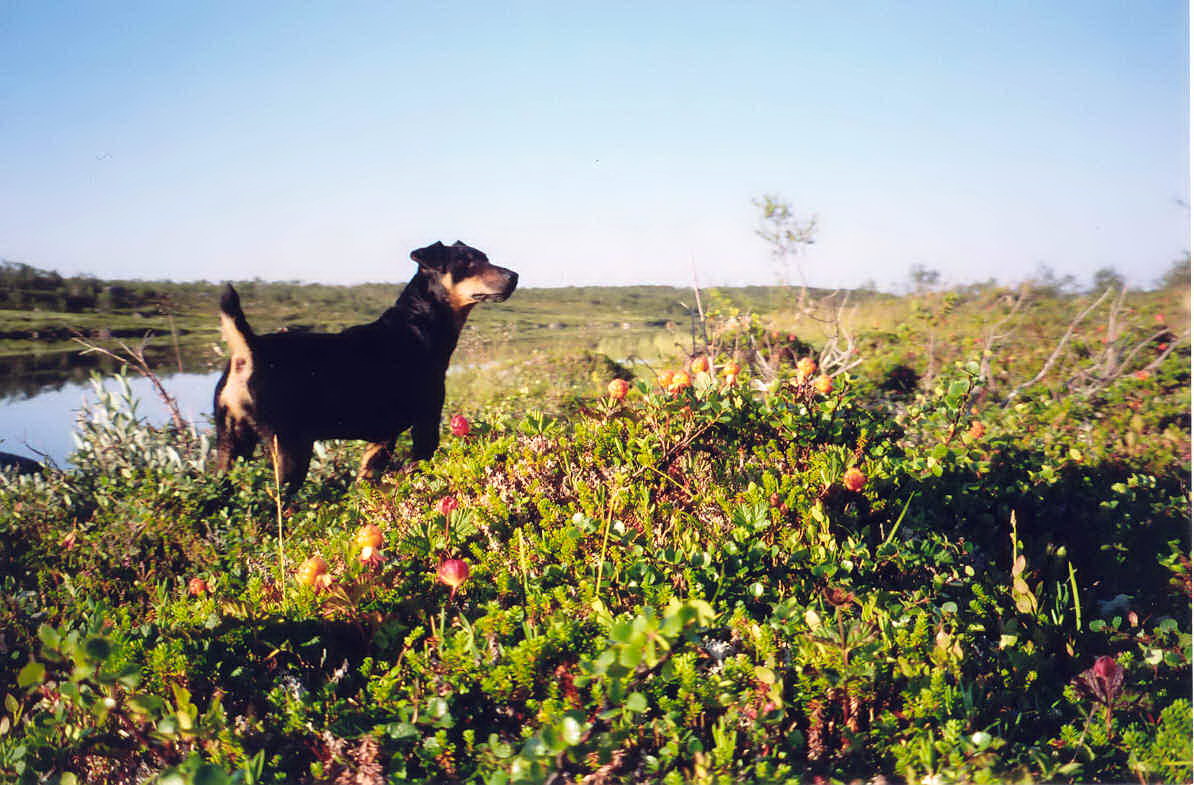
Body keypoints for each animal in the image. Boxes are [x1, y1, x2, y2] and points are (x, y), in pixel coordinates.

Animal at [213, 241, 517, 494]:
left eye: (485, 258)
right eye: (467, 263)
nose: (514, 276)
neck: (415, 328)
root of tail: (248, 350)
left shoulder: (381, 441)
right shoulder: (425, 425)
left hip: (232, 445)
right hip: (289, 449)